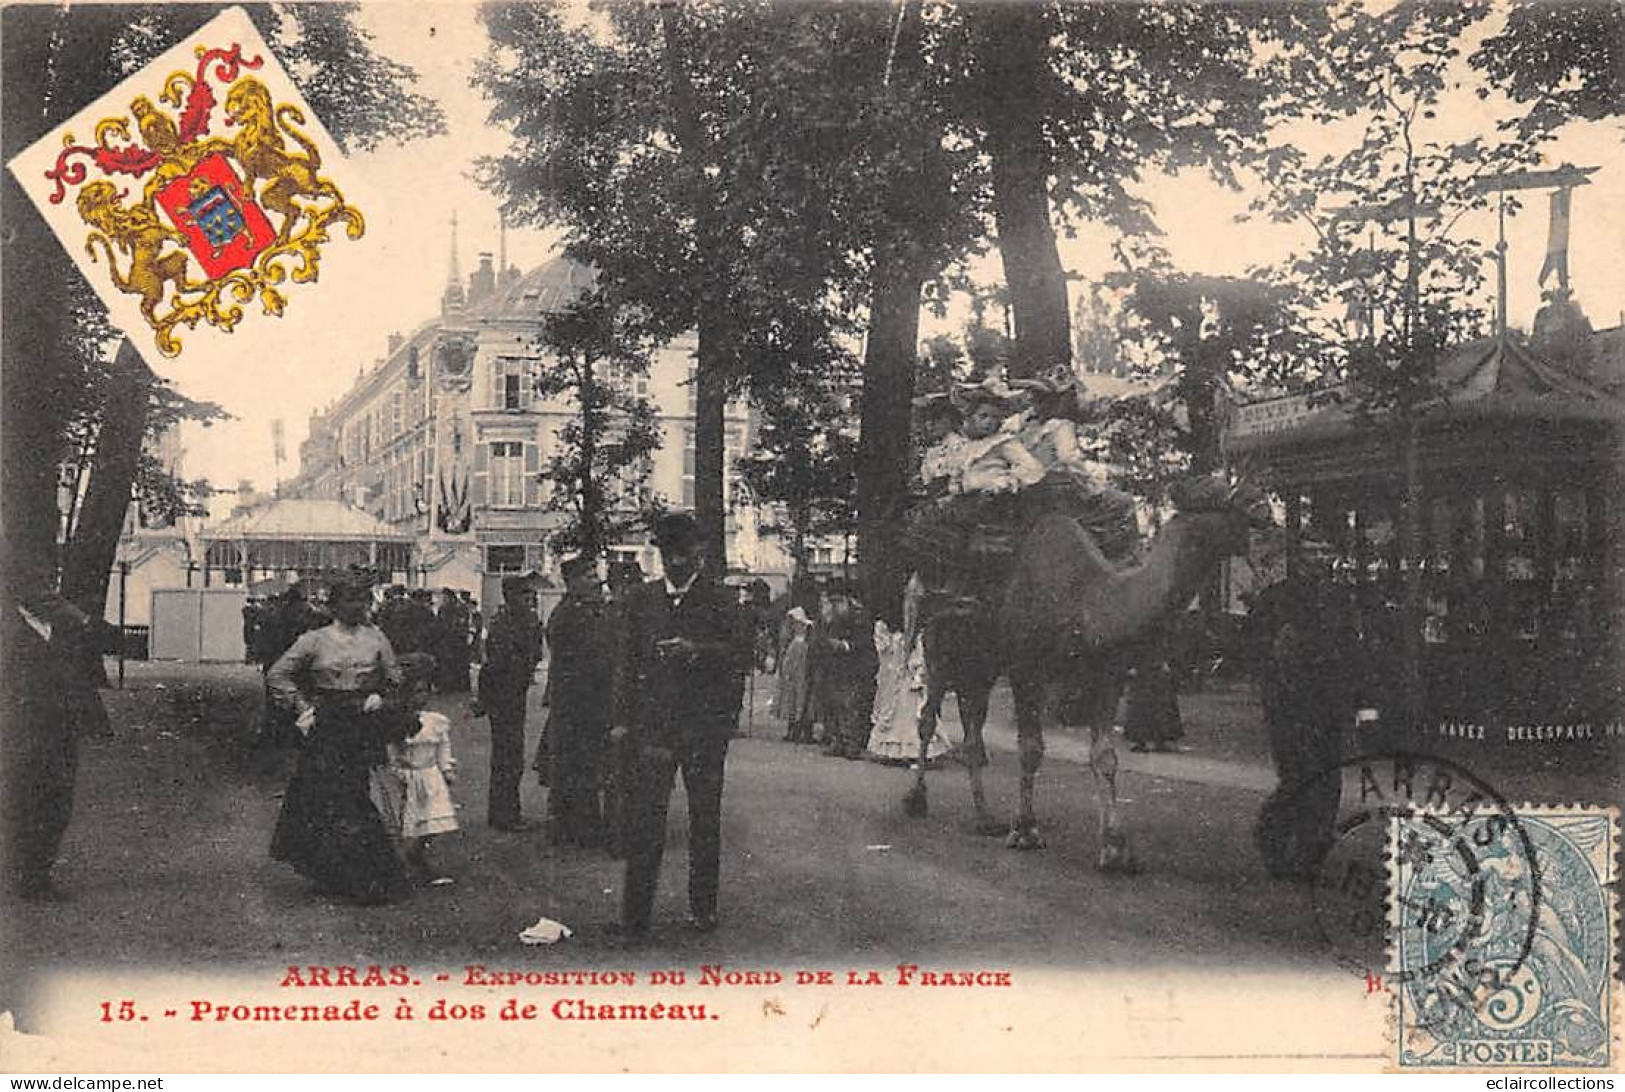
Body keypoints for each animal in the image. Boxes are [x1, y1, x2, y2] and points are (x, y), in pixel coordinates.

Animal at [903, 474, 1267, 871]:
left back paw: (985, 818)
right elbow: (1031, 748)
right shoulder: (1025, 667)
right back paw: (915, 800)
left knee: (972, 729)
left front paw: (1115, 849)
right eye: (1223, 499)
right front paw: (1025, 831)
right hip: (939, 646)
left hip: (980, 661)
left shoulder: (1105, 675)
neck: (1089, 603)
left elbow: (1105, 756)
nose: (1262, 505)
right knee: (927, 717)